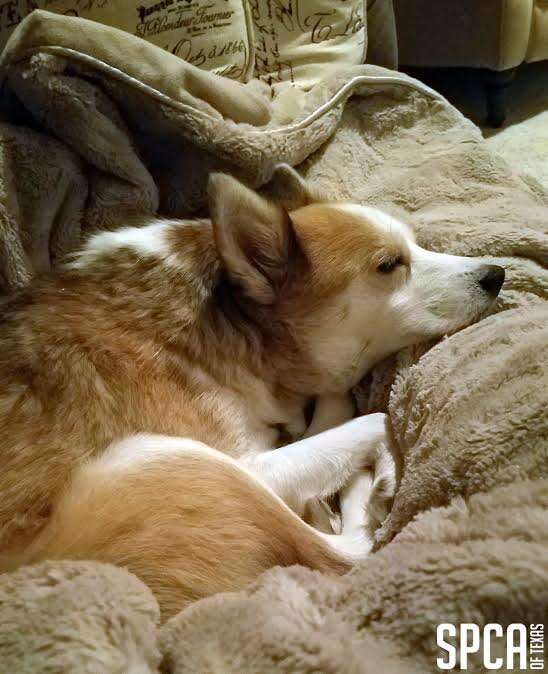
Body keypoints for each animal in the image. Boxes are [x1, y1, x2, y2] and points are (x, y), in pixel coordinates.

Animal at [0, 165, 506, 616]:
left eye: (416, 243)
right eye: (388, 265)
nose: (497, 274)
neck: (234, 326)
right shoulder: (253, 466)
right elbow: (367, 419)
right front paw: (374, 462)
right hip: (158, 460)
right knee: (347, 551)